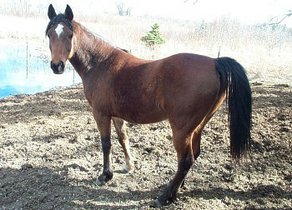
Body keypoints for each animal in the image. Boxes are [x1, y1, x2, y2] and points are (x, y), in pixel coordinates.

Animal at [45, 4, 251, 207]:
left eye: (69, 35)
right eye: (50, 34)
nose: (57, 66)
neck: (101, 63)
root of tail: (215, 62)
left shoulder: (101, 114)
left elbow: (106, 144)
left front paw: (105, 176)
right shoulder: (117, 115)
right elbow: (123, 138)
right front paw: (129, 166)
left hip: (181, 129)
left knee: (186, 160)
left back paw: (165, 196)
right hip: (197, 126)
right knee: (194, 154)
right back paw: (177, 187)